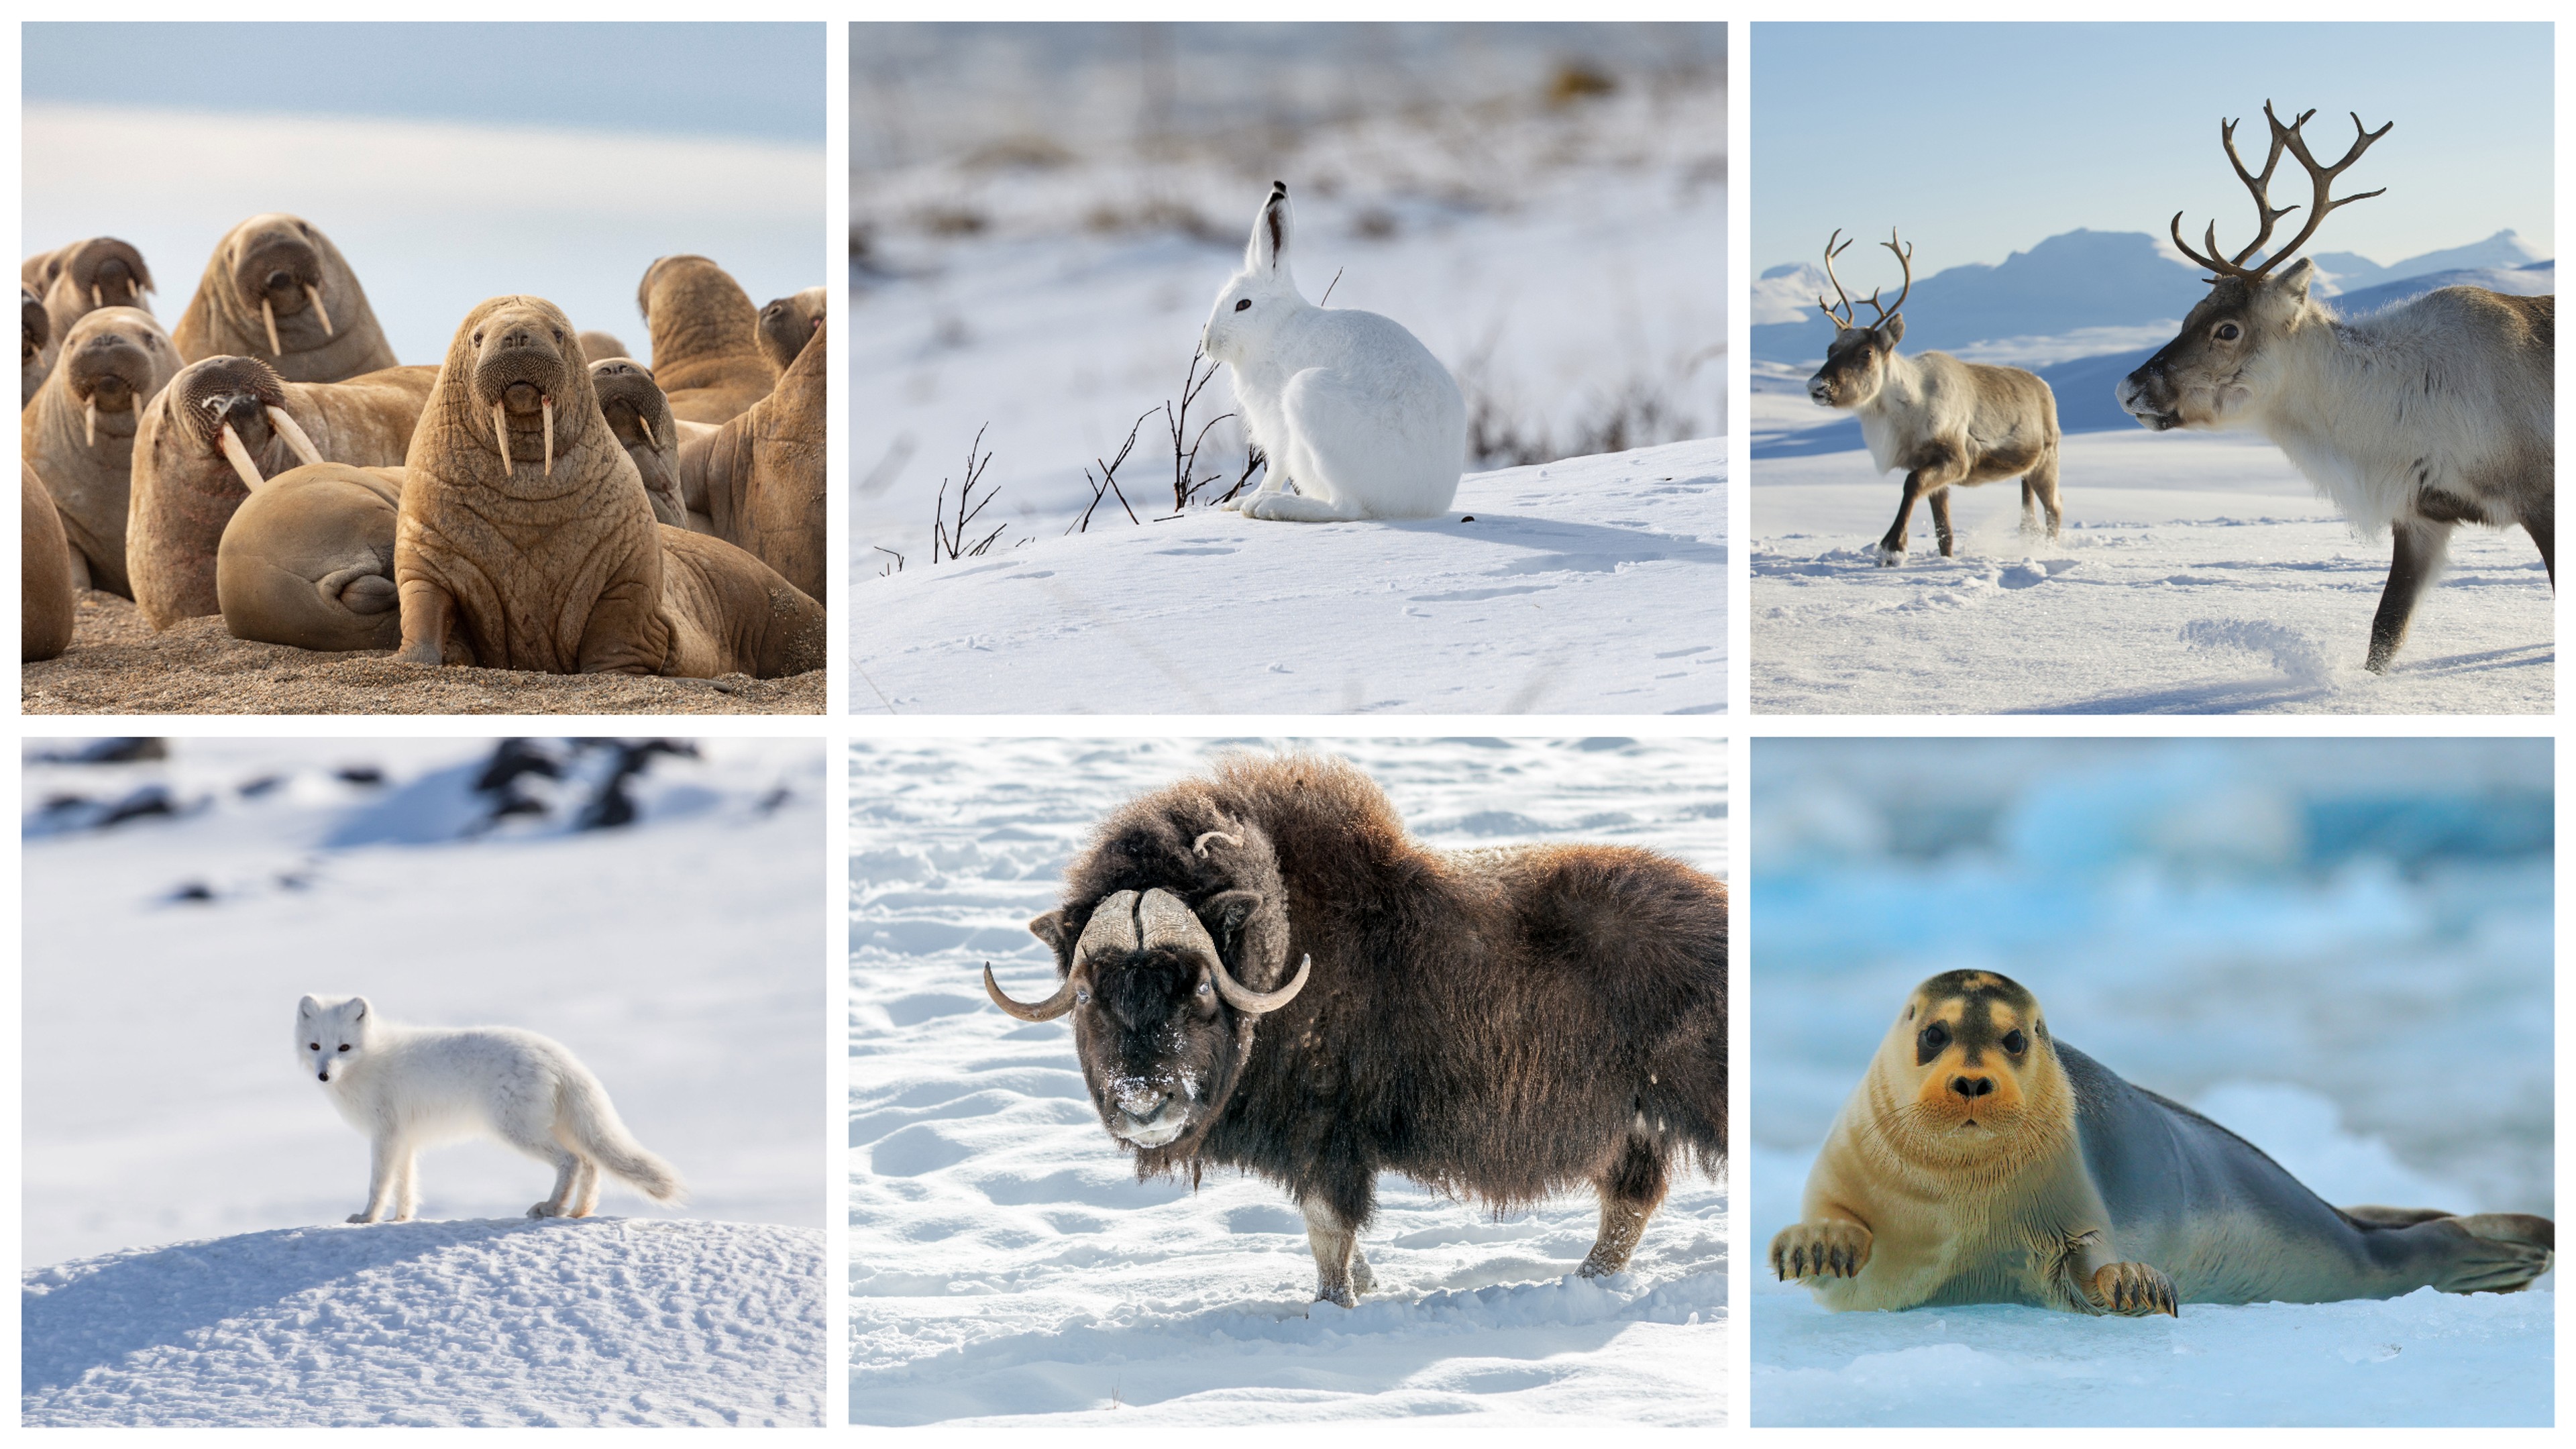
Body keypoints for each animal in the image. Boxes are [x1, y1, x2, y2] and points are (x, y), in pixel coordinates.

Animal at [296, 994, 686, 1224]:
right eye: (315, 1046)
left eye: (344, 1047)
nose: (323, 1075)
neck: (371, 1059)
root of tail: (558, 1056)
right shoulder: (403, 1140)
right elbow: (405, 1186)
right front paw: (401, 1220)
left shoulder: (385, 1136)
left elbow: (379, 1184)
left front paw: (367, 1218)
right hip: (555, 1126)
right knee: (590, 1163)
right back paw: (577, 1212)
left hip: (515, 1130)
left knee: (572, 1161)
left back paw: (551, 1208)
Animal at [1200, 182, 1466, 523]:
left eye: (1243, 305)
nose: (1209, 344)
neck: (1277, 328)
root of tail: (1424, 501)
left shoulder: (1276, 423)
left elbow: (1276, 467)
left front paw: (1248, 500)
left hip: (1309, 398)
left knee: (1348, 508)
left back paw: (1272, 506)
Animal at [1806, 229, 2063, 566]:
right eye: (1830, 349)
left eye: (1866, 352)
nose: (1817, 386)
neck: (1907, 412)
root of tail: (2045, 387)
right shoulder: (1928, 465)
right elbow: (1945, 531)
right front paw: (1942, 558)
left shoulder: (1955, 458)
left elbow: (1911, 484)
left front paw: (1892, 548)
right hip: (2028, 470)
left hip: (2048, 459)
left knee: (2055, 509)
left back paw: (2048, 552)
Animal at [2116, 102, 2554, 674]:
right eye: (2190, 316)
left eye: (2227, 330)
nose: (2128, 388)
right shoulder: (2421, 516)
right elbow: (2385, 631)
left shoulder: (2540, 496)